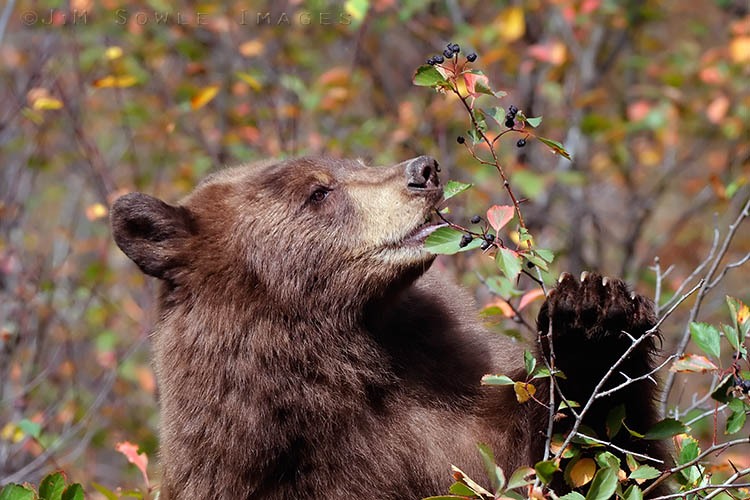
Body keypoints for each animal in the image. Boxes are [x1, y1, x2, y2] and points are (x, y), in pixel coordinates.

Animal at [111, 156, 666, 499]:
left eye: (354, 162)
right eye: (318, 191)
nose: (423, 170)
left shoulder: (459, 408)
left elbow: (599, 460)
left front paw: (593, 316)